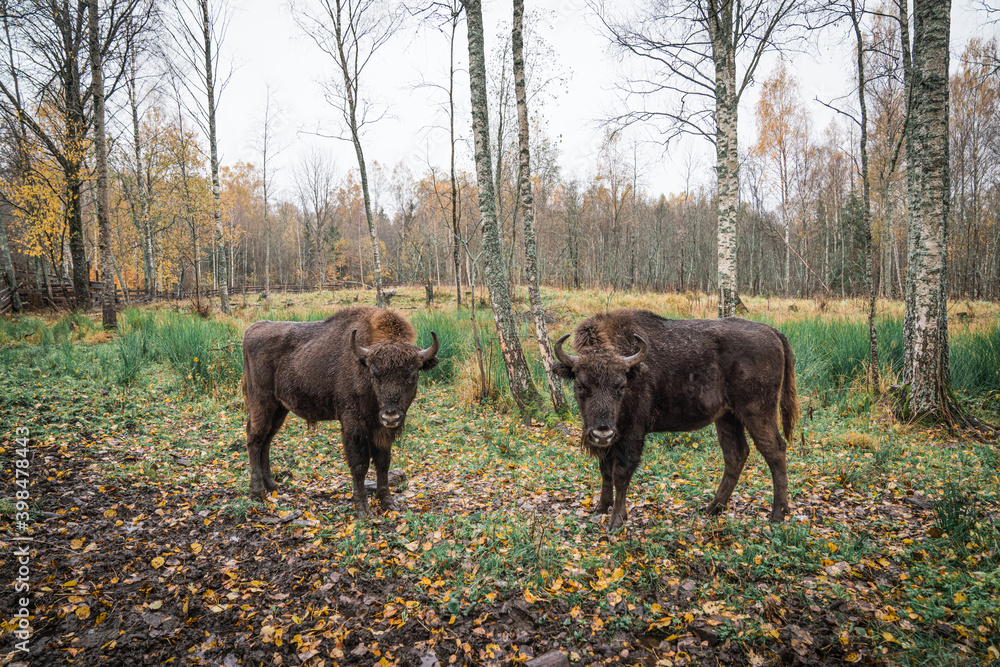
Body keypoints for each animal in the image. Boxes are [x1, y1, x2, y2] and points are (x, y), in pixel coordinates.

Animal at [241, 306, 438, 515]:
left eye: (413, 376)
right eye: (374, 374)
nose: (390, 416)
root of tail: (252, 328)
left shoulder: (380, 429)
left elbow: (383, 462)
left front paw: (387, 502)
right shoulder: (353, 424)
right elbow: (360, 464)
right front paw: (362, 509)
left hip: (279, 409)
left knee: (266, 441)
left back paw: (272, 486)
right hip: (261, 402)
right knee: (254, 439)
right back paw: (258, 491)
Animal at [553, 309, 798, 529]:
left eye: (620, 385)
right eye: (580, 385)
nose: (601, 431)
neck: (632, 369)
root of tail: (772, 331)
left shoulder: (631, 433)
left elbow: (620, 473)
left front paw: (616, 520)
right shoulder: (609, 440)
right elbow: (605, 471)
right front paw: (601, 508)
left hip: (757, 412)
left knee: (774, 450)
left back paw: (778, 514)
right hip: (728, 417)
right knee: (736, 454)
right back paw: (712, 509)